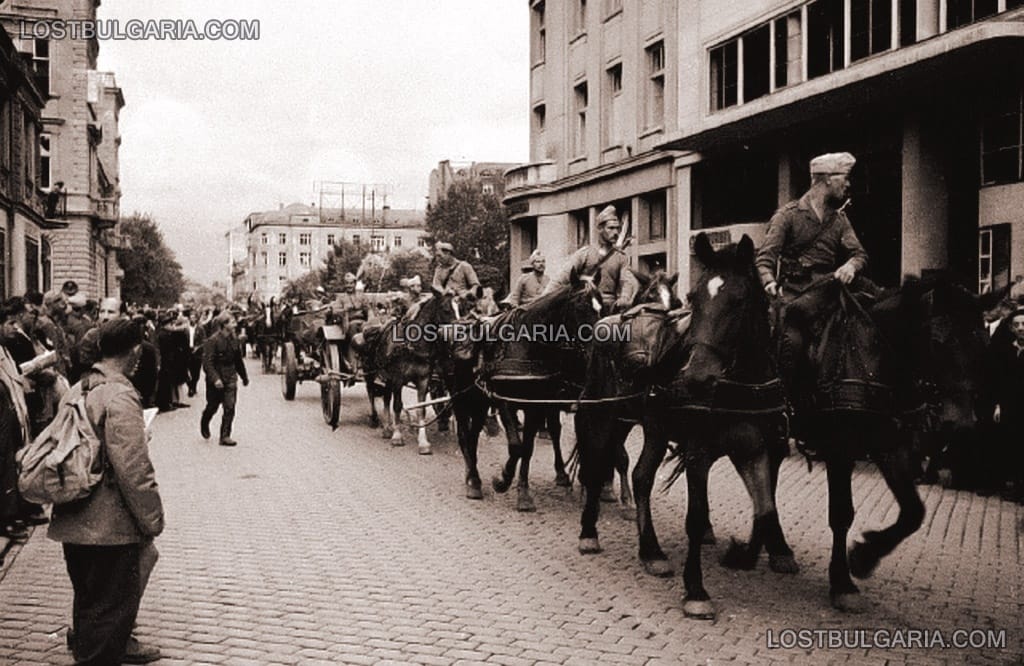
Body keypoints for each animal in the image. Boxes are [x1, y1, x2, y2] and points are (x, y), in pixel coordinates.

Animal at [577, 232, 798, 618]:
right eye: (694, 299)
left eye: (739, 300)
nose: (695, 375)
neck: (741, 383)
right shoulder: (698, 453)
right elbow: (696, 518)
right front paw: (696, 589)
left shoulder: (757, 449)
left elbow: (765, 510)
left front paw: (743, 554)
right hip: (607, 417)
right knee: (597, 466)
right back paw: (590, 532)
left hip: (651, 427)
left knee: (641, 476)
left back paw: (651, 552)